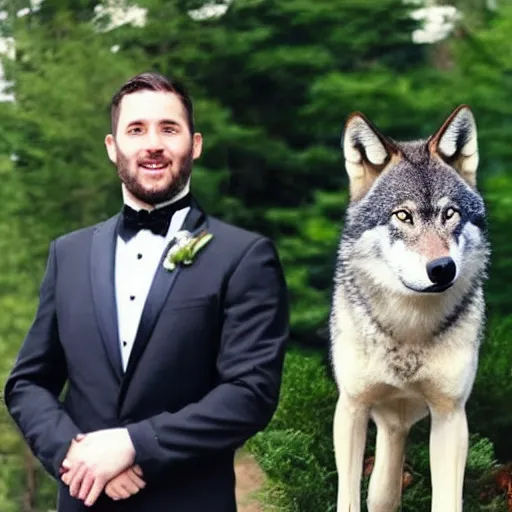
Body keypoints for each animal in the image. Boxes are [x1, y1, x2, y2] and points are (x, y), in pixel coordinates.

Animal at [330, 105, 490, 512]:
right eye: (403, 216)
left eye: (450, 214)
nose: (442, 268)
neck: (410, 329)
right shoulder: (351, 409)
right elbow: (347, 500)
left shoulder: (450, 416)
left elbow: (448, 502)